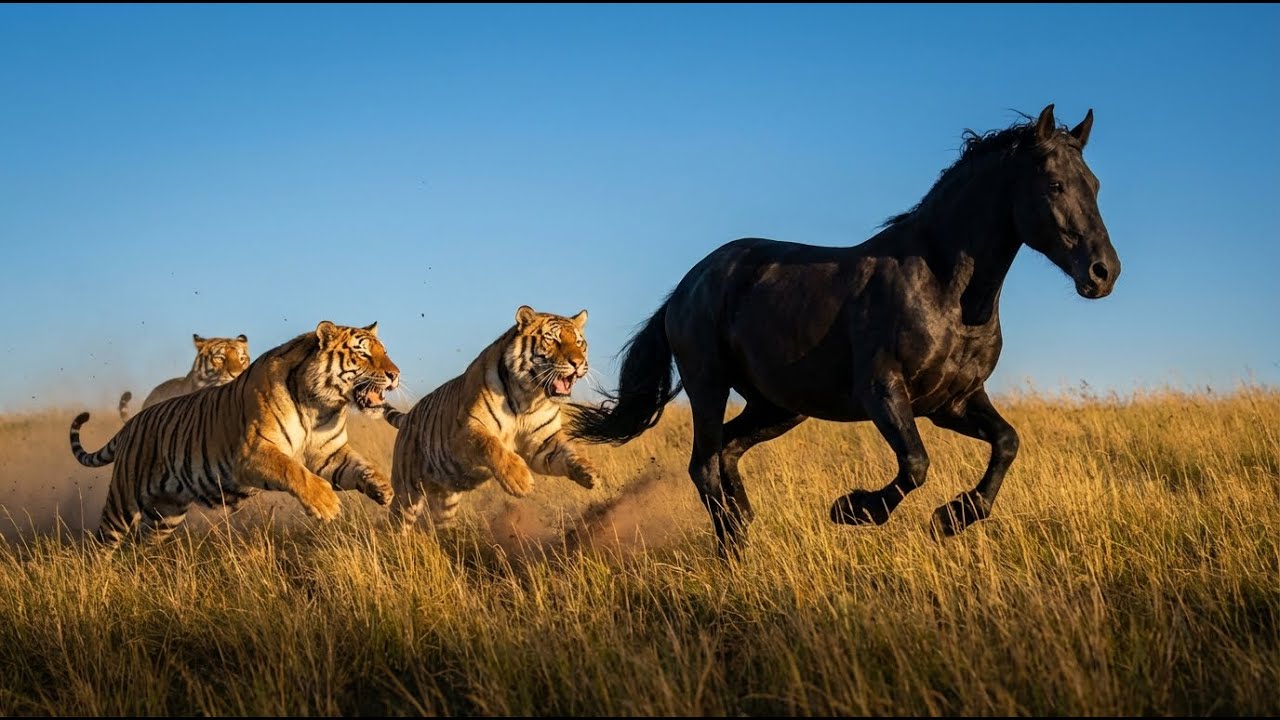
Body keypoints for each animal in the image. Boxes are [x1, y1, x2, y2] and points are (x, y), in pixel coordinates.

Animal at [569, 104, 1121, 557]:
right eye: (1054, 185)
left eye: (1095, 185)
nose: (1103, 273)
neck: (947, 290)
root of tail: (685, 289)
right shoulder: (882, 391)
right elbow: (916, 463)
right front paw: (853, 510)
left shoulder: (954, 402)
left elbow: (1007, 442)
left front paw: (953, 517)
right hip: (709, 384)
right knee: (703, 465)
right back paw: (733, 551)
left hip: (778, 406)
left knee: (727, 451)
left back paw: (745, 527)